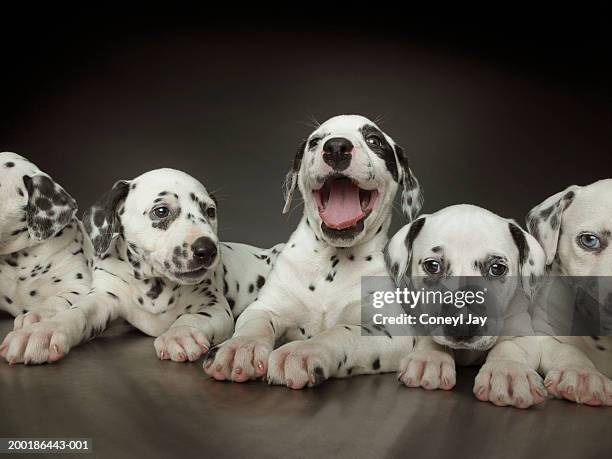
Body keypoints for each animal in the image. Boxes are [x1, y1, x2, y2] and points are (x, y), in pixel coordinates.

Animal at [203, 114, 424, 388]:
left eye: (374, 140)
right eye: (315, 141)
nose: (337, 147)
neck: (333, 261)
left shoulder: (392, 330)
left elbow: (339, 331)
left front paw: (302, 351)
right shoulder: (266, 307)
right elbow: (254, 324)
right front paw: (239, 347)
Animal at [384, 205, 548, 410]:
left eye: (497, 268)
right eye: (432, 265)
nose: (462, 323)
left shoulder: (520, 331)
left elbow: (510, 347)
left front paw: (508, 370)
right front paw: (429, 357)